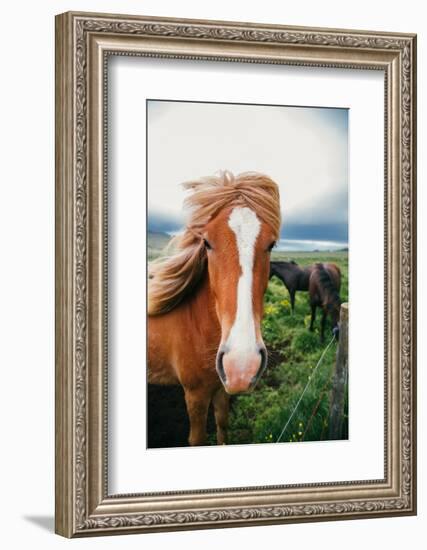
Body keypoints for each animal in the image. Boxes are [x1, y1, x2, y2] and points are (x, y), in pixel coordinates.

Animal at [149, 170, 282, 446]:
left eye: (272, 244)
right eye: (207, 242)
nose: (242, 365)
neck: (195, 326)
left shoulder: (222, 387)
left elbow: (222, 425)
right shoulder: (196, 395)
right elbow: (197, 439)